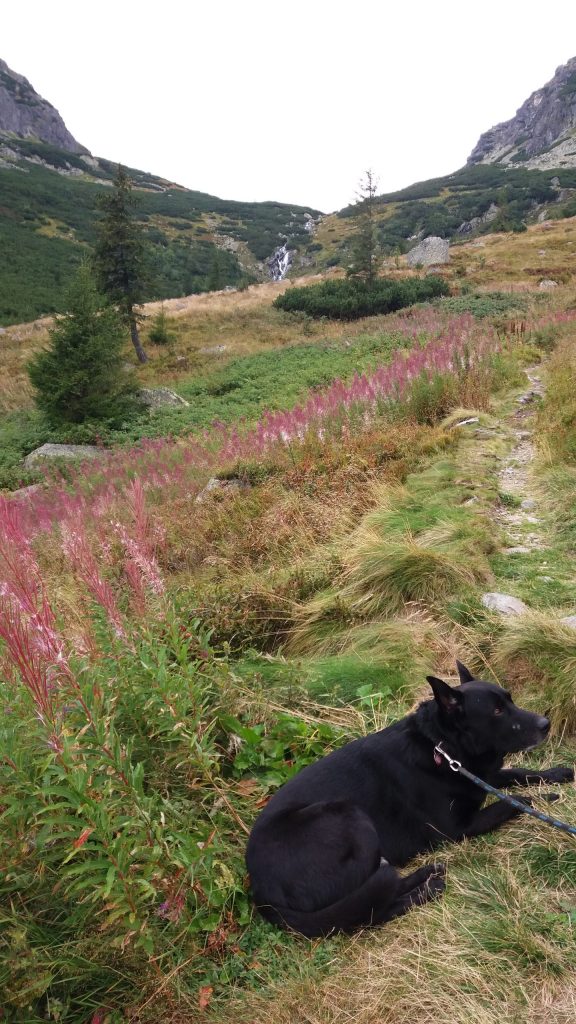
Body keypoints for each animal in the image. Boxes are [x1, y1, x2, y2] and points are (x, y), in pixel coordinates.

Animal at [245, 662, 574, 937]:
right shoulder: (456, 828)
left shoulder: (478, 777)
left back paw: (427, 874)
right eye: (495, 712)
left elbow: (520, 773)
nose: (546, 724)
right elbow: (513, 801)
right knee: (371, 910)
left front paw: (558, 773)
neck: (442, 747)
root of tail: (261, 893)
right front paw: (543, 797)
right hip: (348, 816)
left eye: (510, 700)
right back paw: (426, 891)